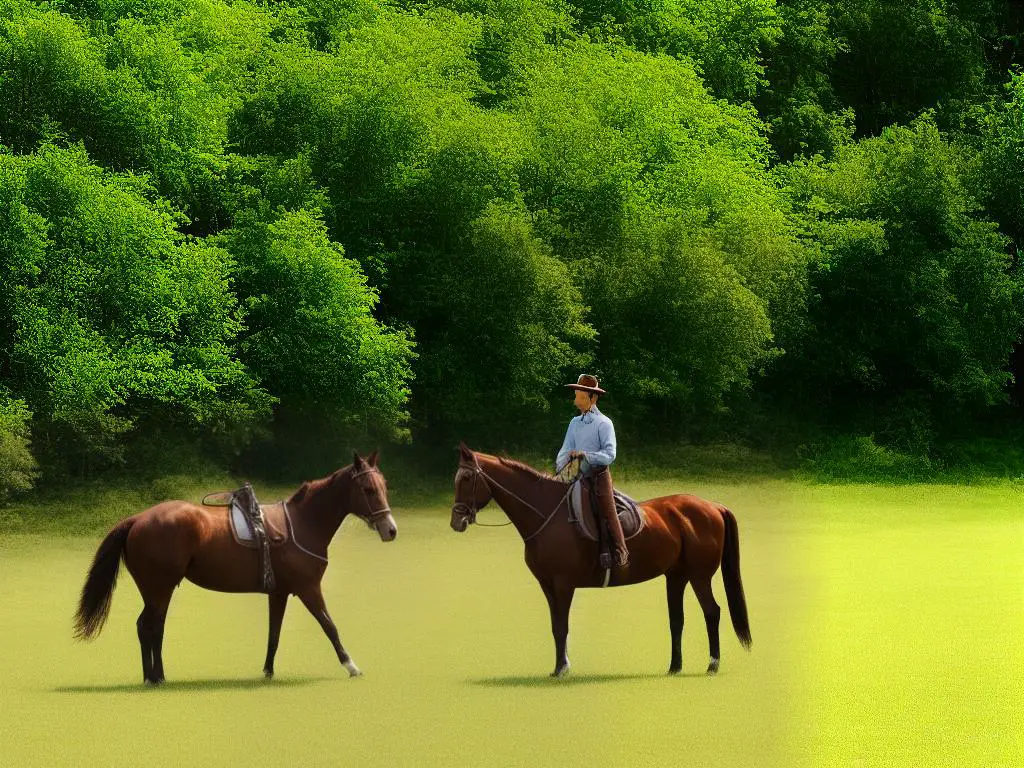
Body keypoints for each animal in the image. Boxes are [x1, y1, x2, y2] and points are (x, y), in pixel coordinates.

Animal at [74, 450, 395, 684]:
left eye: (384, 487)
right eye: (368, 489)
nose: (391, 530)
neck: (301, 523)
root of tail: (137, 519)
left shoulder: (279, 593)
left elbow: (274, 634)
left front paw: (268, 671)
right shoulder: (308, 589)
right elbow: (330, 626)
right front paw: (351, 666)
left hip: (156, 590)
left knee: (153, 627)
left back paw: (156, 676)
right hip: (159, 588)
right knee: (149, 627)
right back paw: (154, 678)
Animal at [452, 444, 749, 679]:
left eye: (466, 477)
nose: (457, 521)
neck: (546, 514)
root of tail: (713, 505)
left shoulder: (563, 584)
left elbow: (562, 626)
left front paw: (562, 669)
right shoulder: (547, 585)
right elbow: (555, 627)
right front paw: (559, 666)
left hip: (700, 576)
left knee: (712, 612)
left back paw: (712, 665)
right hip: (676, 576)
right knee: (677, 619)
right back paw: (674, 667)